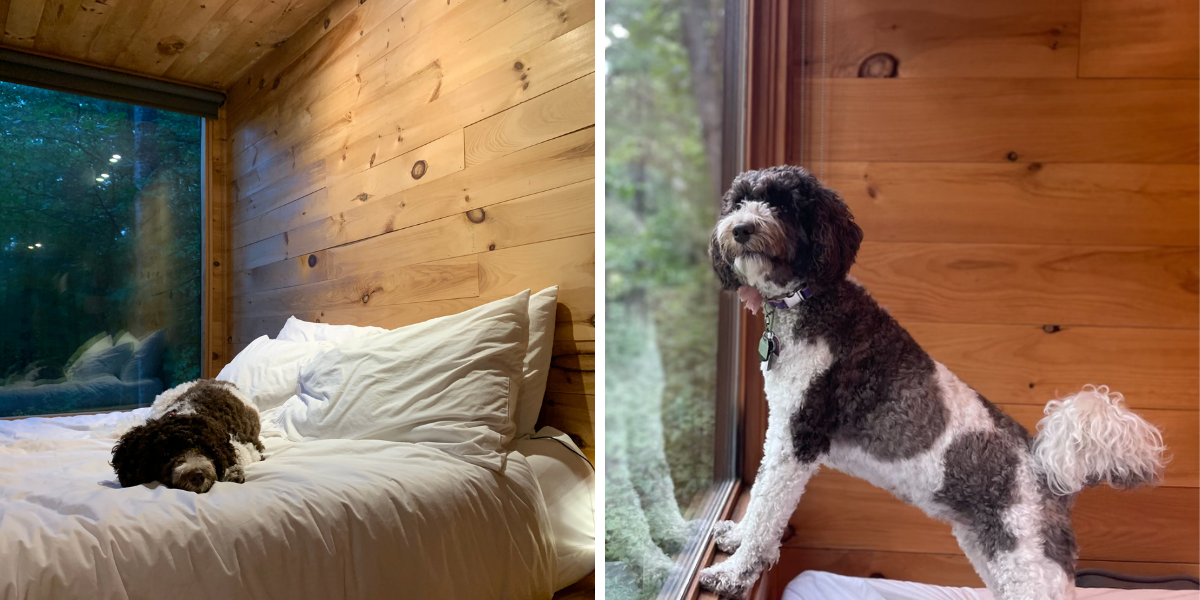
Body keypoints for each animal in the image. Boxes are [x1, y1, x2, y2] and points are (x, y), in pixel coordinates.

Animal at [112, 379, 265, 492]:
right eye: (167, 452)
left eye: (206, 449)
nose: (197, 476)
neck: (188, 412)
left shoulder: (249, 448)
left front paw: (232, 472)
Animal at [700, 165, 1166, 600]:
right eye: (738, 203)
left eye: (782, 204)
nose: (741, 228)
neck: (808, 297)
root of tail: (1046, 469)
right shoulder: (781, 432)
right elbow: (760, 497)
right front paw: (736, 537)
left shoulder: (798, 437)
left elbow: (768, 509)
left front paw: (733, 573)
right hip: (992, 551)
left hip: (1026, 561)